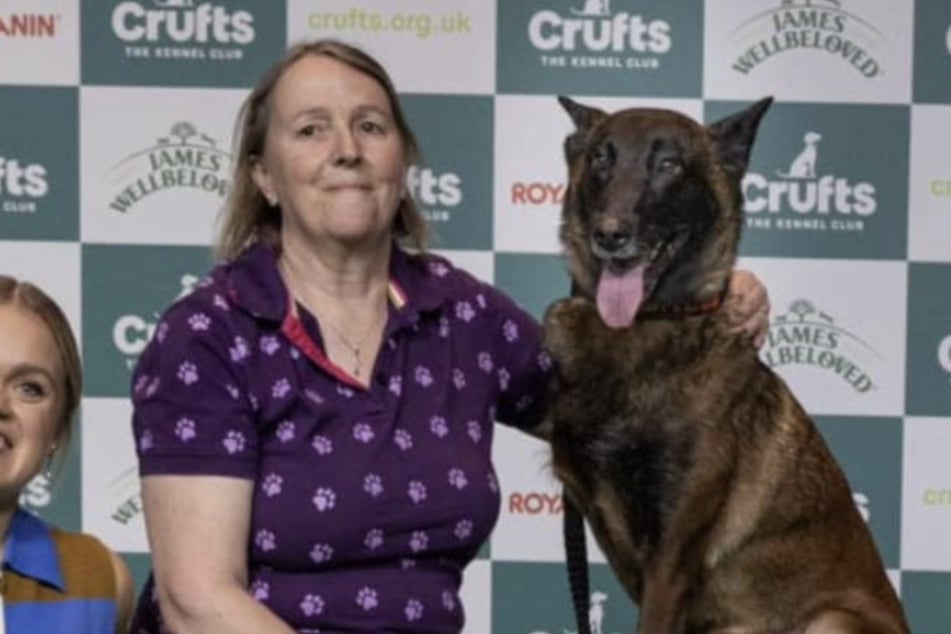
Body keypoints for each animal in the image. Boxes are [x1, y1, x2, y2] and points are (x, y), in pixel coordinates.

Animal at [540, 95, 912, 632]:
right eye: (601, 160)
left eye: (669, 165)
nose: (608, 234)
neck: (649, 325)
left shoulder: (671, 561)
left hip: (830, 620)